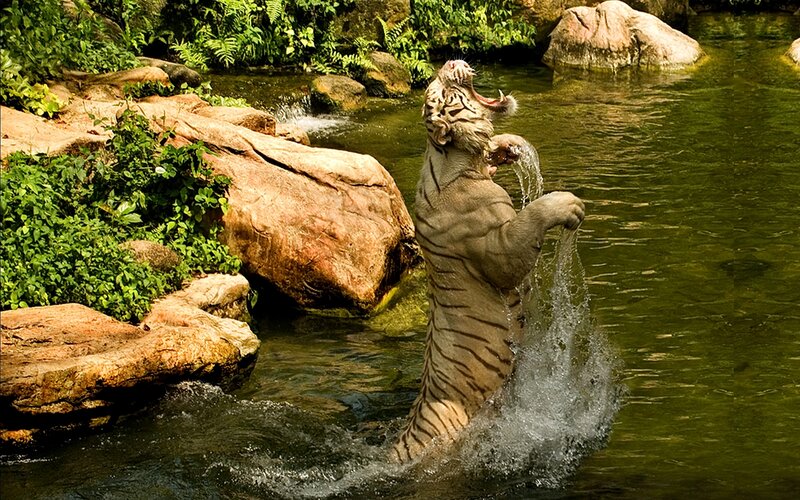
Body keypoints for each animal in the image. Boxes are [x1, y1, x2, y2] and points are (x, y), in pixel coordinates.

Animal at [391, 60, 585, 463]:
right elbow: (529, 221)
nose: (450, 62)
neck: (458, 161)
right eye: (443, 93)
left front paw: (507, 146)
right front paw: (568, 204)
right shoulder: (500, 247)